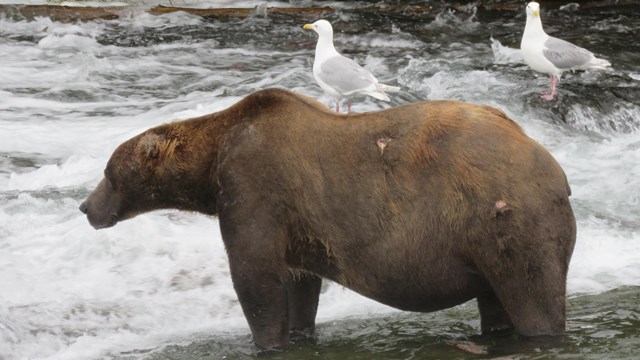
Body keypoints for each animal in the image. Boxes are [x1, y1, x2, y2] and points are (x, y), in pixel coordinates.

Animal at [79, 88, 576, 350]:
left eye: (108, 172)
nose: (86, 207)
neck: (212, 161)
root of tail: (552, 163)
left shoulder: (254, 186)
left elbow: (254, 276)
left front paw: (265, 340)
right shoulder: (296, 225)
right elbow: (299, 284)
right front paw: (299, 330)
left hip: (504, 216)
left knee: (533, 297)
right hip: (488, 235)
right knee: (495, 300)